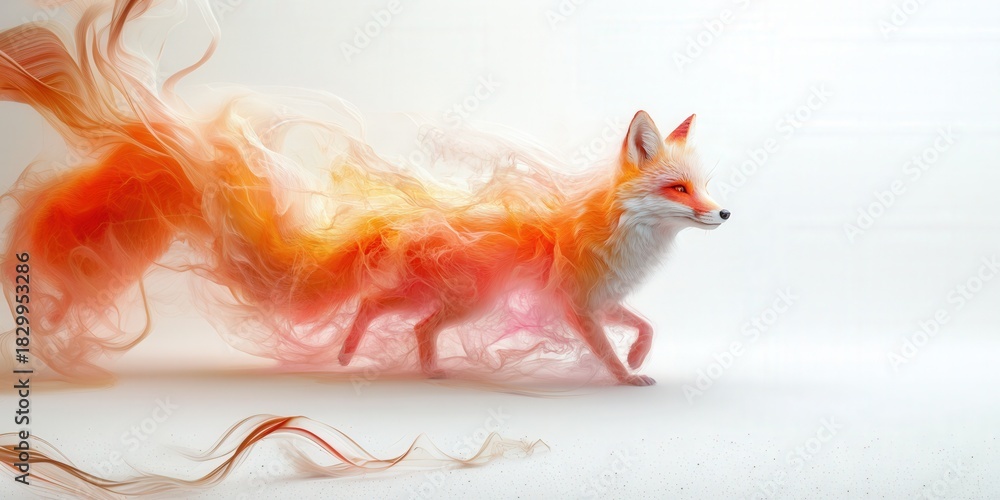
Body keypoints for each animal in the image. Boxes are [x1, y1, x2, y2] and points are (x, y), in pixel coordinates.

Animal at [0, 0, 729, 387]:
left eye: (704, 185)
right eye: (678, 187)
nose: (724, 211)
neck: (623, 240)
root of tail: (404, 219)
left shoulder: (599, 303)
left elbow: (645, 325)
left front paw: (639, 357)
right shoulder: (577, 307)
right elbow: (605, 349)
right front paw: (625, 376)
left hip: (451, 300)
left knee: (390, 312)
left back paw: (390, 362)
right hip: (467, 301)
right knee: (389, 311)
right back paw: (386, 362)